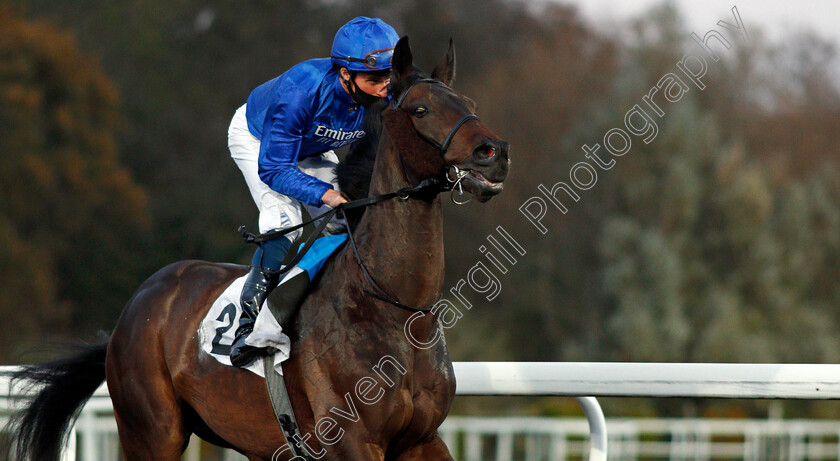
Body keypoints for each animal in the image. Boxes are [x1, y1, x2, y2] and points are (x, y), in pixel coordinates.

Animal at [3, 36, 508, 460]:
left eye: (469, 104)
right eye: (421, 110)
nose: (494, 152)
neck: (394, 306)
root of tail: (136, 307)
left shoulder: (422, 440)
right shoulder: (352, 439)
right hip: (151, 432)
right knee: (279, 223)